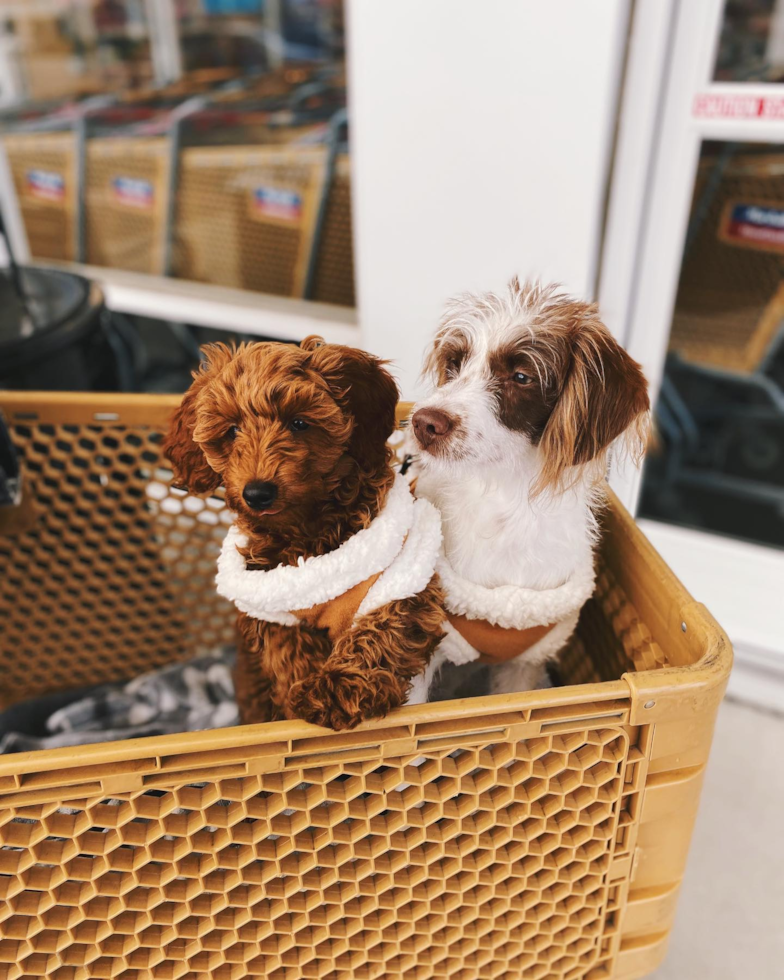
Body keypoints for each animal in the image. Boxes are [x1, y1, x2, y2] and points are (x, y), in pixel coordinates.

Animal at [162, 336, 444, 728]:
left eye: (298, 423)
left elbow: (383, 628)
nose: (257, 493)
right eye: (231, 431)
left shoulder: (402, 578)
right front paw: (303, 695)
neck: (307, 532)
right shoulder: (273, 607)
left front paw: (337, 688)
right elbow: (288, 653)